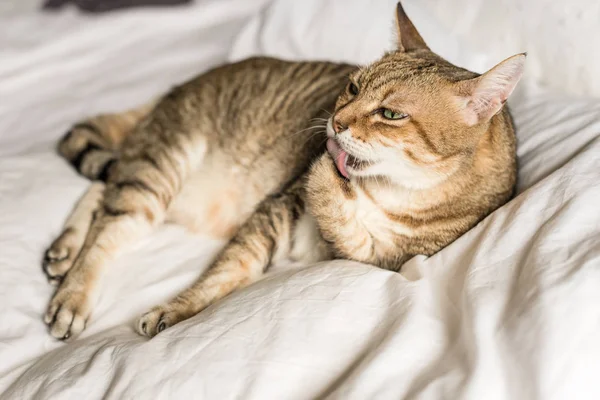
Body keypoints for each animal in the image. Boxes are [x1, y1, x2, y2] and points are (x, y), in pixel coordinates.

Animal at [41, 2, 524, 340]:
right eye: (352, 87)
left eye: (390, 114)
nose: (336, 123)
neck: (392, 193)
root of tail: (175, 89)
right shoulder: (280, 206)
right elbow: (228, 268)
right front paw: (176, 309)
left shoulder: (380, 256)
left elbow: (350, 231)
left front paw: (330, 179)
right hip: (164, 162)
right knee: (109, 221)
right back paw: (71, 288)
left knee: (106, 189)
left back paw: (63, 251)